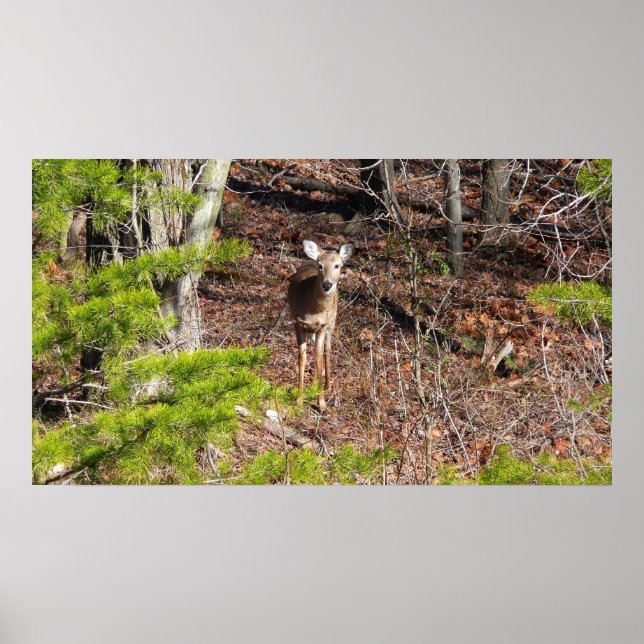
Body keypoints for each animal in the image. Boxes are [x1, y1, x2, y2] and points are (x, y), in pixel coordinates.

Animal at [288, 239, 354, 411]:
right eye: (320, 265)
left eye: (337, 265)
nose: (327, 284)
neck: (314, 311)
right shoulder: (298, 323)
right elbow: (302, 358)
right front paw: (299, 399)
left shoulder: (322, 326)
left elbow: (318, 358)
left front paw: (321, 403)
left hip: (332, 322)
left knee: (327, 349)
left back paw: (327, 386)